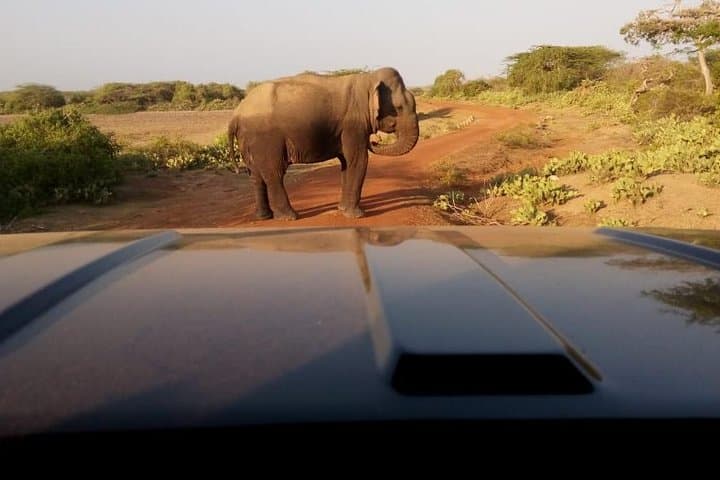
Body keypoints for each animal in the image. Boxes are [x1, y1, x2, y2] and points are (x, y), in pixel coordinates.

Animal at [227, 67, 420, 220]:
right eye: (399, 108)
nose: (373, 141)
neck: (368, 79)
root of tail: (237, 113)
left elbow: (346, 163)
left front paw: (342, 210)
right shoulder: (353, 125)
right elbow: (358, 160)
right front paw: (356, 216)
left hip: (249, 140)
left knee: (255, 175)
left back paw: (264, 217)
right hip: (266, 139)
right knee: (274, 173)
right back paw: (290, 217)